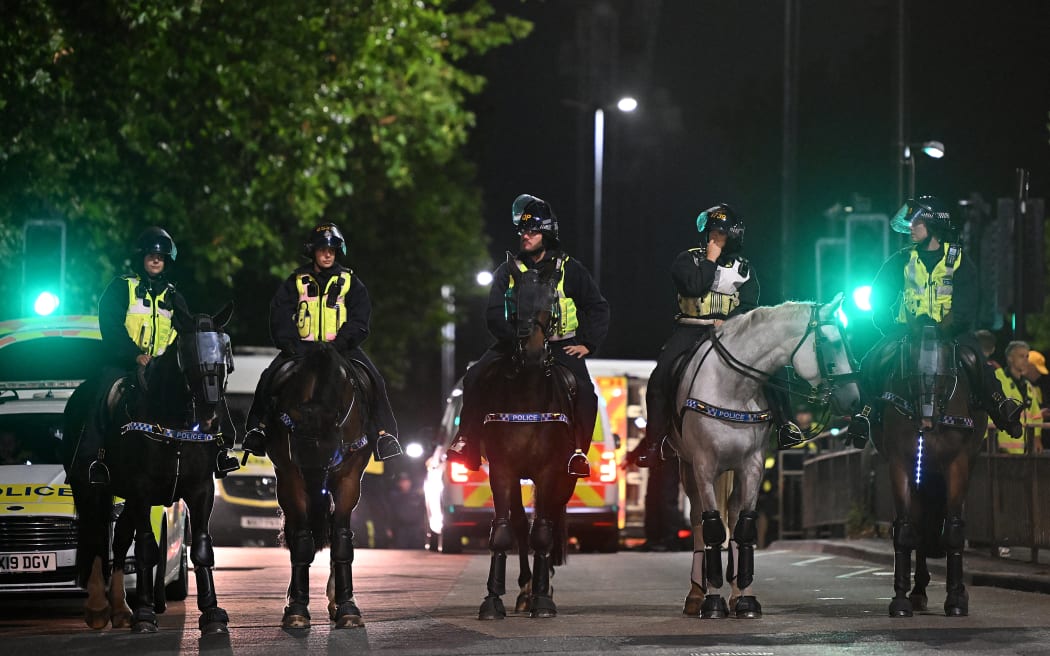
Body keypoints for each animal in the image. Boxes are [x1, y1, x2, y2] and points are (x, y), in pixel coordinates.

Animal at [62, 302, 234, 633]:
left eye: (225, 350)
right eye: (187, 350)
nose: (211, 412)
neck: (174, 424)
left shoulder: (200, 489)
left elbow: (201, 548)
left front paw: (211, 611)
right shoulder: (142, 491)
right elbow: (145, 549)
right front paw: (144, 613)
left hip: (125, 498)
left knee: (118, 540)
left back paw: (120, 608)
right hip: (90, 489)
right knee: (95, 537)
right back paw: (99, 607)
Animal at [258, 340, 377, 625]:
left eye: (331, 455)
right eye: (299, 456)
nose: (317, 497)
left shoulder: (348, 479)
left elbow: (341, 538)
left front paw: (347, 606)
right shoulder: (291, 476)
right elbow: (302, 541)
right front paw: (297, 608)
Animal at [470, 263, 583, 617]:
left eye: (552, 300)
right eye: (514, 301)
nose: (532, 353)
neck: (528, 394)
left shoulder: (550, 471)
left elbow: (543, 533)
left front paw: (544, 598)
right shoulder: (503, 469)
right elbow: (504, 529)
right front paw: (493, 598)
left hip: (566, 479)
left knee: (547, 522)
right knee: (521, 524)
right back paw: (525, 588)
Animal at [672, 293, 860, 617]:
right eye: (829, 341)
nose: (854, 398)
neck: (733, 386)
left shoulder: (752, 466)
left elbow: (745, 527)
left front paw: (745, 599)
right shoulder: (704, 466)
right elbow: (712, 529)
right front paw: (712, 601)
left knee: (733, 516)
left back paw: (734, 592)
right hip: (688, 467)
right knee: (698, 520)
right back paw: (697, 594)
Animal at [865, 325, 986, 617]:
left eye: (944, 376)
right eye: (911, 373)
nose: (927, 423)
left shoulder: (957, 464)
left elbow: (953, 531)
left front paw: (956, 599)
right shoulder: (901, 464)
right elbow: (906, 531)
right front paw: (900, 601)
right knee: (920, 526)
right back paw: (918, 591)